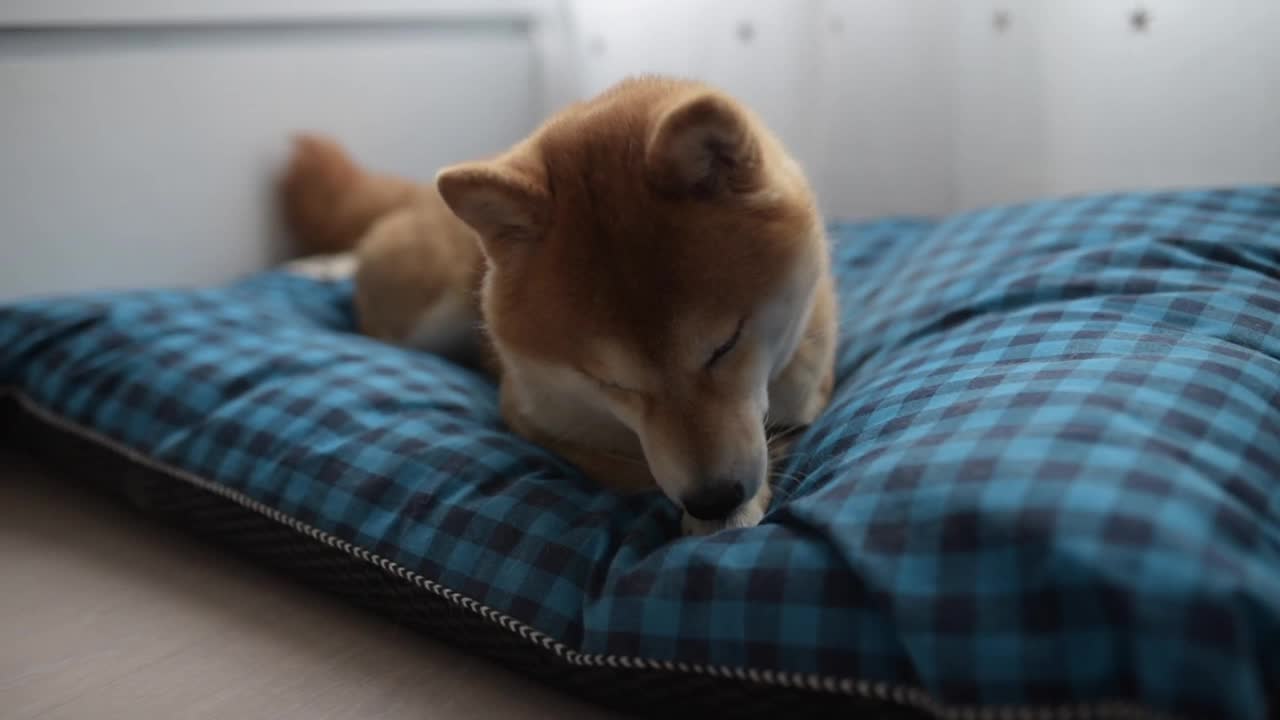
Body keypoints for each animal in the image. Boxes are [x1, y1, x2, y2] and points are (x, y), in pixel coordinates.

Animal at [280, 75, 839, 532]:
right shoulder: (529, 414)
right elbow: (627, 472)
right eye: (610, 383)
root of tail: (414, 194)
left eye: (726, 345)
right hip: (423, 318)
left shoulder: (807, 390)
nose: (713, 498)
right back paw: (321, 267)